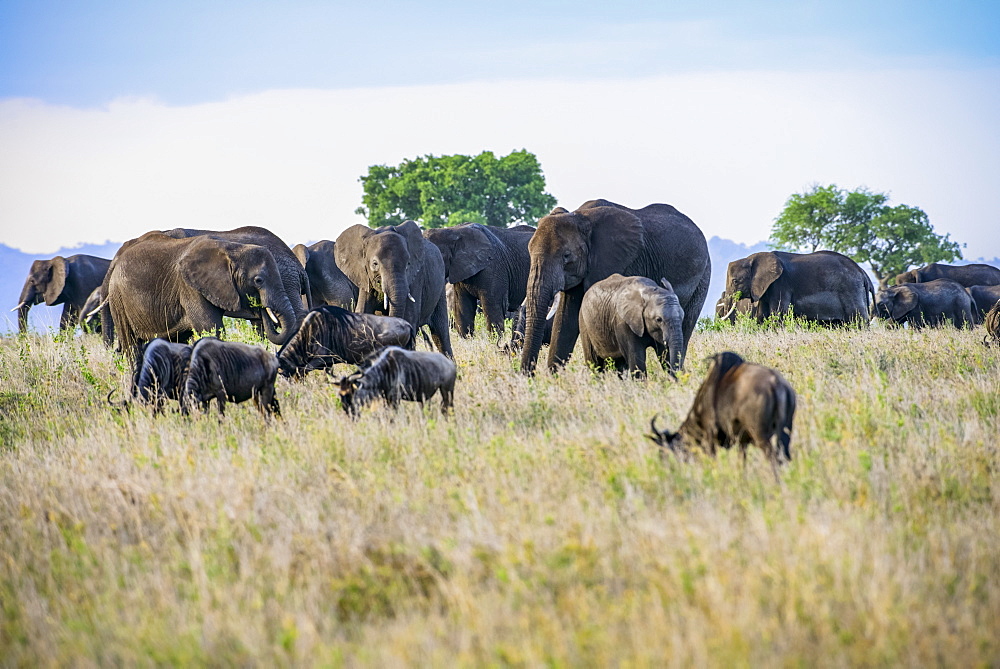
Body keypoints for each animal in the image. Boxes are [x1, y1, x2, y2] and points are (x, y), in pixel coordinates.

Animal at [100, 228, 300, 366]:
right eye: (258, 280)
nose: (261, 307)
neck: (232, 250)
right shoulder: (189, 287)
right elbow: (211, 329)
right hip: (118, 298)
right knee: (132, 346)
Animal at [336, 220, 454, 358]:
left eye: (408, 264)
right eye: (375, 264)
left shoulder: (416, 278)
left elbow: (408, 319)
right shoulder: (365, 279)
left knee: (441, 334)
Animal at [520, 198, 708, 376]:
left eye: (566, 255)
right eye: (529, 252)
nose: (528, 376)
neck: (580, 216)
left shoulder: (622, 261)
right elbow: (565, 320)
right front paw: (554, 379)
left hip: (703, 279)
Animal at [648, 352, 796, 478]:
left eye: (664, 451)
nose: (669, 471)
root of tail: (776, 384)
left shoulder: (710, 438)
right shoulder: (742, 442)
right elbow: (741, 463)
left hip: (761, 436)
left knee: (773, 458)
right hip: (784, 434)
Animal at [724, 249, 872, 324]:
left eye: (735, 281)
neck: (751, 258)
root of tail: (862, 272)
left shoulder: (781, 283)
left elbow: (777, 313)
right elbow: (762, 316)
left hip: (851, 290)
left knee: (858, 319)